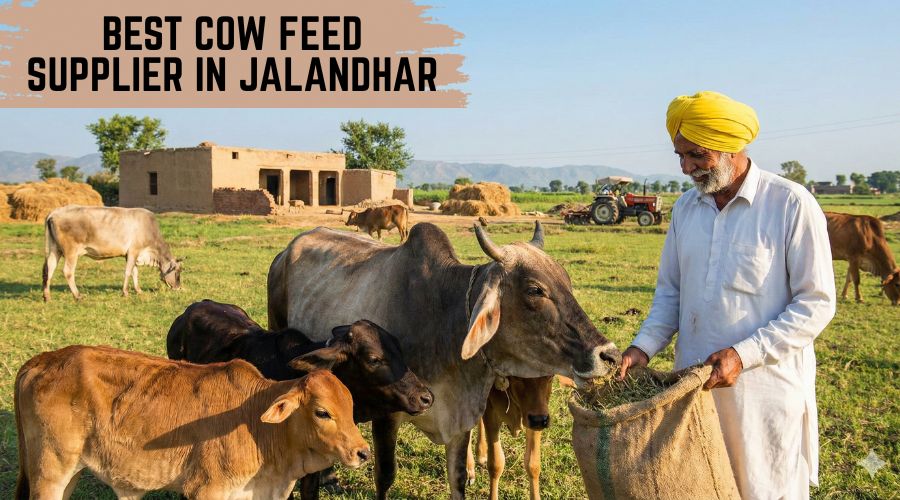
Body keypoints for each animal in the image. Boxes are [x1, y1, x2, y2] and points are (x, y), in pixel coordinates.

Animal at [15, 345, 369, 500]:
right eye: (322, 412)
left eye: (351, 408)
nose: (363, 452)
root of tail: (38, 362)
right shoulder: (206, 490)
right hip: (50, 471)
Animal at [42, 205, 182, 301]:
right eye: (177, 272)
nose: (179, 287)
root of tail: (54, 212)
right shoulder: (134, 251)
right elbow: (128, 272)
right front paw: (125, 292)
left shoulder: (130, 255)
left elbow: (134, 272)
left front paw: (138, 290)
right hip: (71, 252)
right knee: (68, 271)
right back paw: (77, 296)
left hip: (54, 249)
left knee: (49, 269)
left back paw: (47, 297)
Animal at [267, 221, 620, 499]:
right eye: (535, 290)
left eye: (567, 282)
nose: (610, 354)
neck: (443, 319)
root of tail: (288, 249)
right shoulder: (387, 414)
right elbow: (384, 476)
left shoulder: (461, 418)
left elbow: (458, 479)